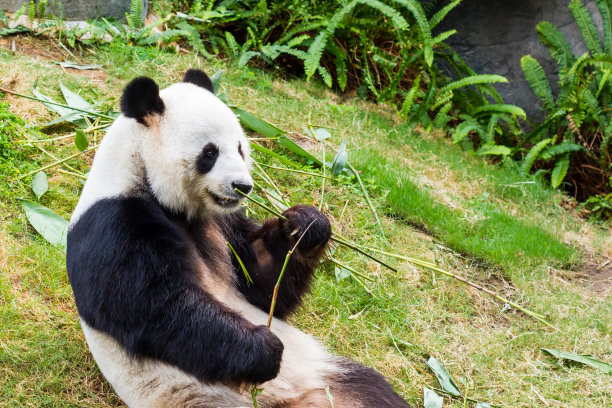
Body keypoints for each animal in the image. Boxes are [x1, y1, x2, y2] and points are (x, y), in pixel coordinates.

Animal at [65, 68, 412, 406]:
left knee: (371, 390)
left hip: (326, 376)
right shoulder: (115, 223)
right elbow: (154, 306)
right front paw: (264, 348)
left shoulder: (224, 223)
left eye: (241, 148)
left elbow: (262, 283)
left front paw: (306, 226)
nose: (243, 187)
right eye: (210, 152)